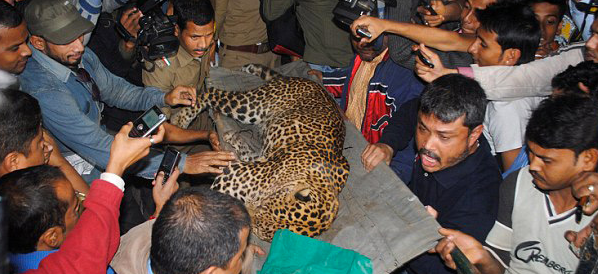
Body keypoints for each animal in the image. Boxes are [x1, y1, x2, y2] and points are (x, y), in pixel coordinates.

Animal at [171, 63, 352, 240]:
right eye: (263, 207)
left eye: (258, 230)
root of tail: (306, 80)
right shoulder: (230, 177)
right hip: (251, 106)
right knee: (211, 93)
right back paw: (180, 119)